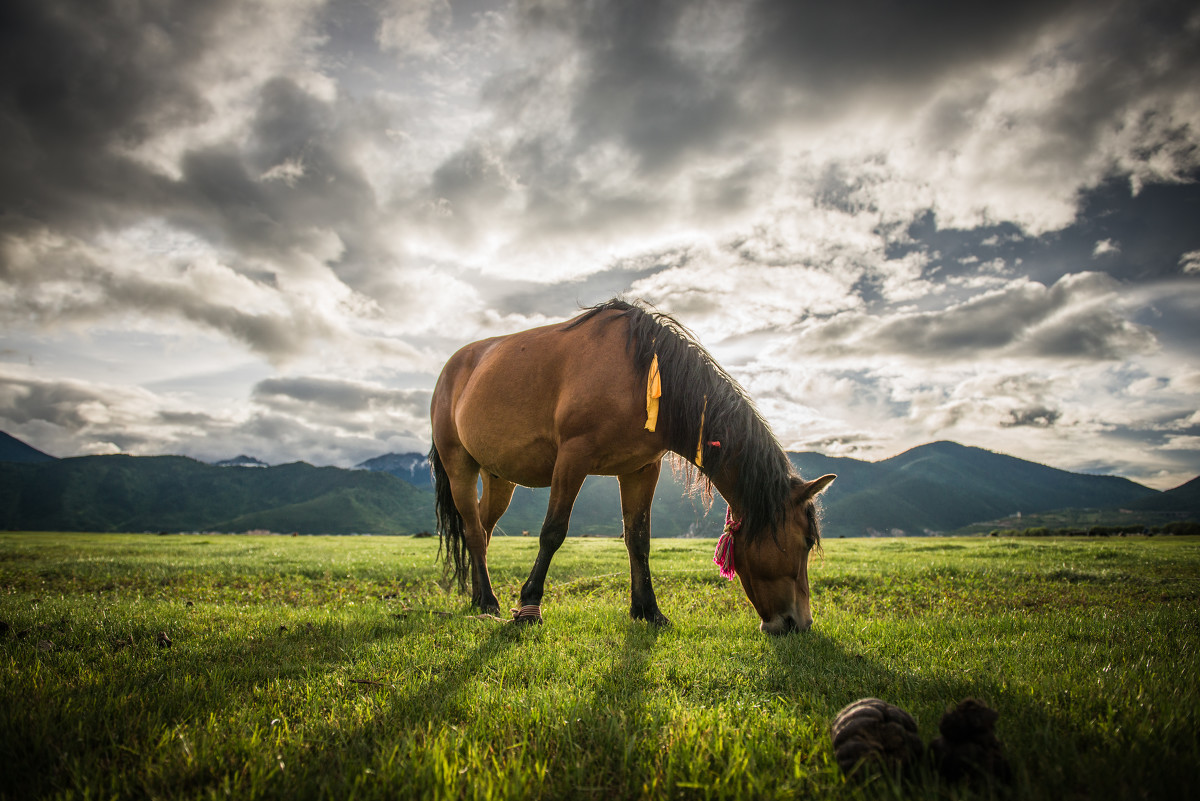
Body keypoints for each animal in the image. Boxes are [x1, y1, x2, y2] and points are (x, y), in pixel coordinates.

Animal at [429, 298, 835, 633]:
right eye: (804, 542)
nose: (799, 623)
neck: (638, 373)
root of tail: (453, 367)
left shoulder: (640, 470)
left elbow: (639, 540)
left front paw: (648, 610)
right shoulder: (573, 457)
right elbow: (553, 532)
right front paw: (529, 606)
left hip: (498, 477)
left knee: (481, 530)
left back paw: (479, 597)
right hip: (459, 465)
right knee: (474, 532)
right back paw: (488, 601)